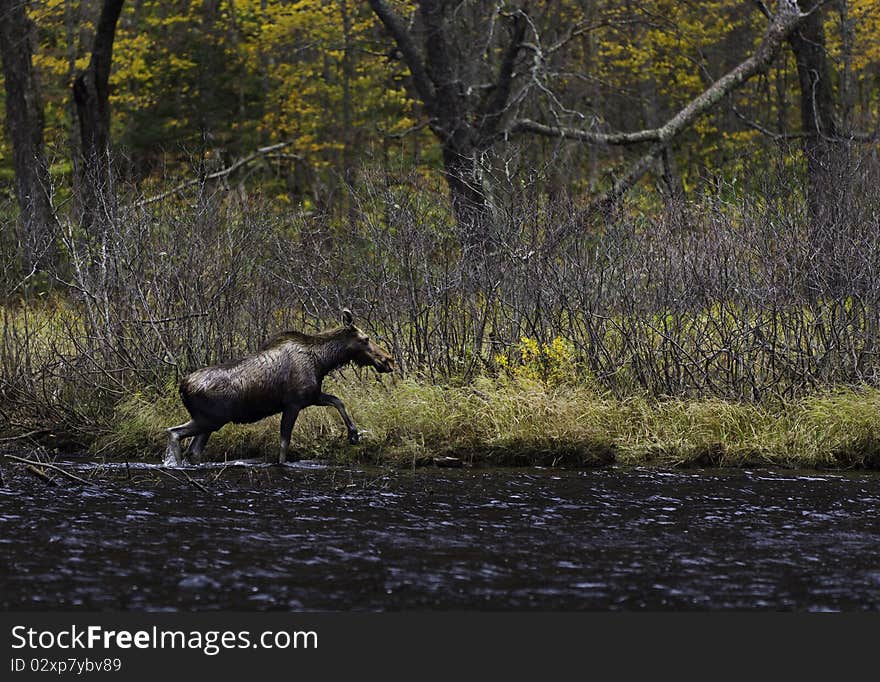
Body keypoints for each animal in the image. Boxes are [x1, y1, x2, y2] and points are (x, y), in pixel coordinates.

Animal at [164, 310, 396, 464]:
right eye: (365, 338)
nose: (389, 360)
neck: (322, 361)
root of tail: (182, 387)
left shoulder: (312, 396)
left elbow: (338, 401)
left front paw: (354, 434)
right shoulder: (293, 403)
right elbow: (284, 445)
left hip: (210, 423)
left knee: (193, 450)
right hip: (209, 419)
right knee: (173, 433)